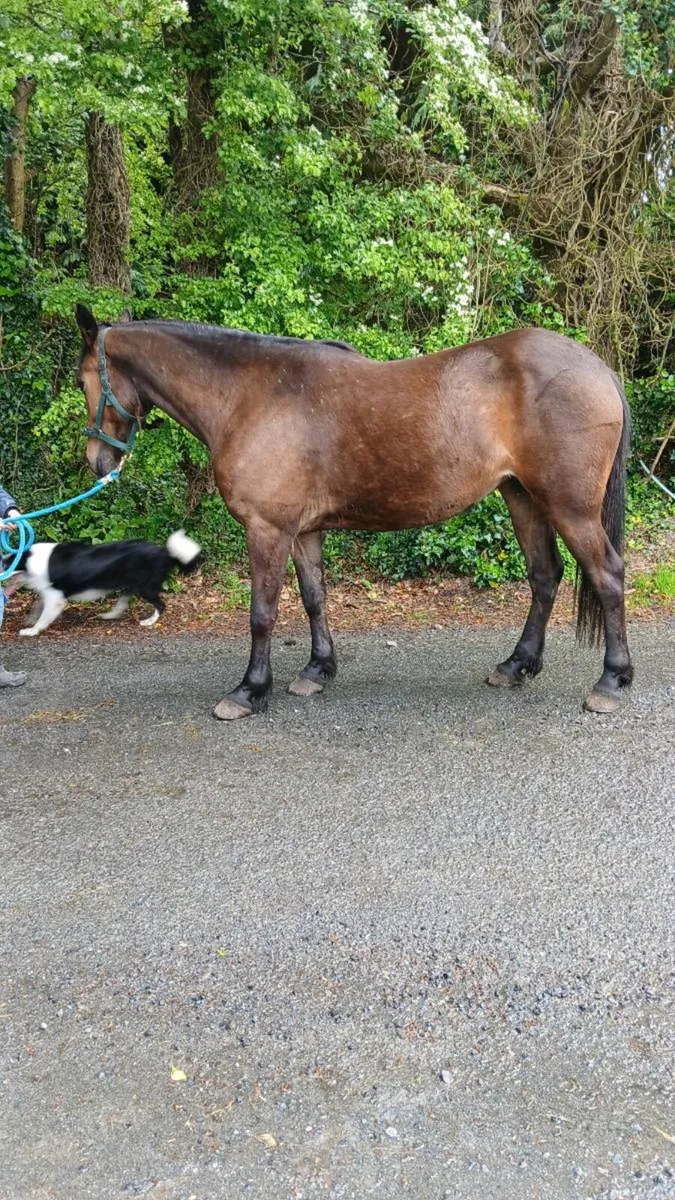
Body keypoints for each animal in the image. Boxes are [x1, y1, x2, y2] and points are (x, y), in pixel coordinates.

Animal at [75, 304, 633, 719]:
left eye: (82, 382)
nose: (98, 461)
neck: (249, 396)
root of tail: (599, 369)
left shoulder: (267, 529)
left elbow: (262, 613)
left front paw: (249, 691)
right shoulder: (302, 531)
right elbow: (313, 598)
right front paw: (316, 671)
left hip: (570, 507)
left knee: (606, 574)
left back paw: (611, 681)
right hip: (522, 497)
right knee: (545, 575)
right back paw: (517, 665)